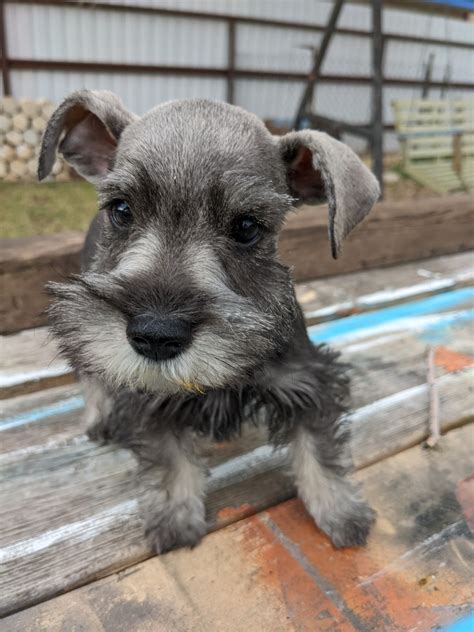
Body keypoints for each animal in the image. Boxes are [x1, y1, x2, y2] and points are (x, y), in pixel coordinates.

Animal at [39, 89, 382, 552]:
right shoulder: (149, 398)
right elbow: (167, 454)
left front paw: (340, 509)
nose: (156, 335)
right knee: (90, 373)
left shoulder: (306, 380)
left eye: (247, 226)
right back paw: (99, 418)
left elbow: (318, 447)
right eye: (122, 209)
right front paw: (174, 514)